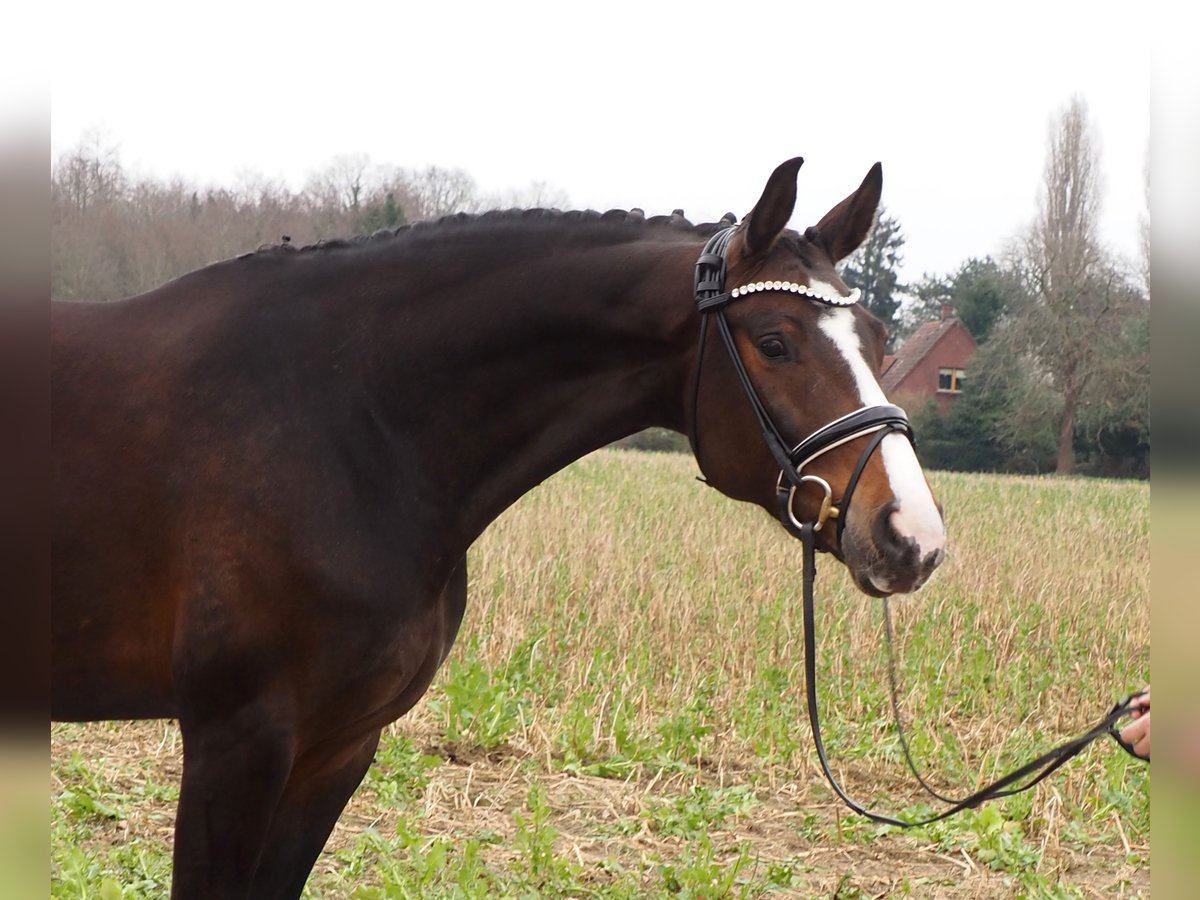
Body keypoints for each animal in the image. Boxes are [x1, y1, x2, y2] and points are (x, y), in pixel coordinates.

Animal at [51, 158, 945, 897]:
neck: (343, 420)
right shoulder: (237, 740)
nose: (912, 537)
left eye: (878, 339)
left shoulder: (336, 747)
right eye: (774, 342)